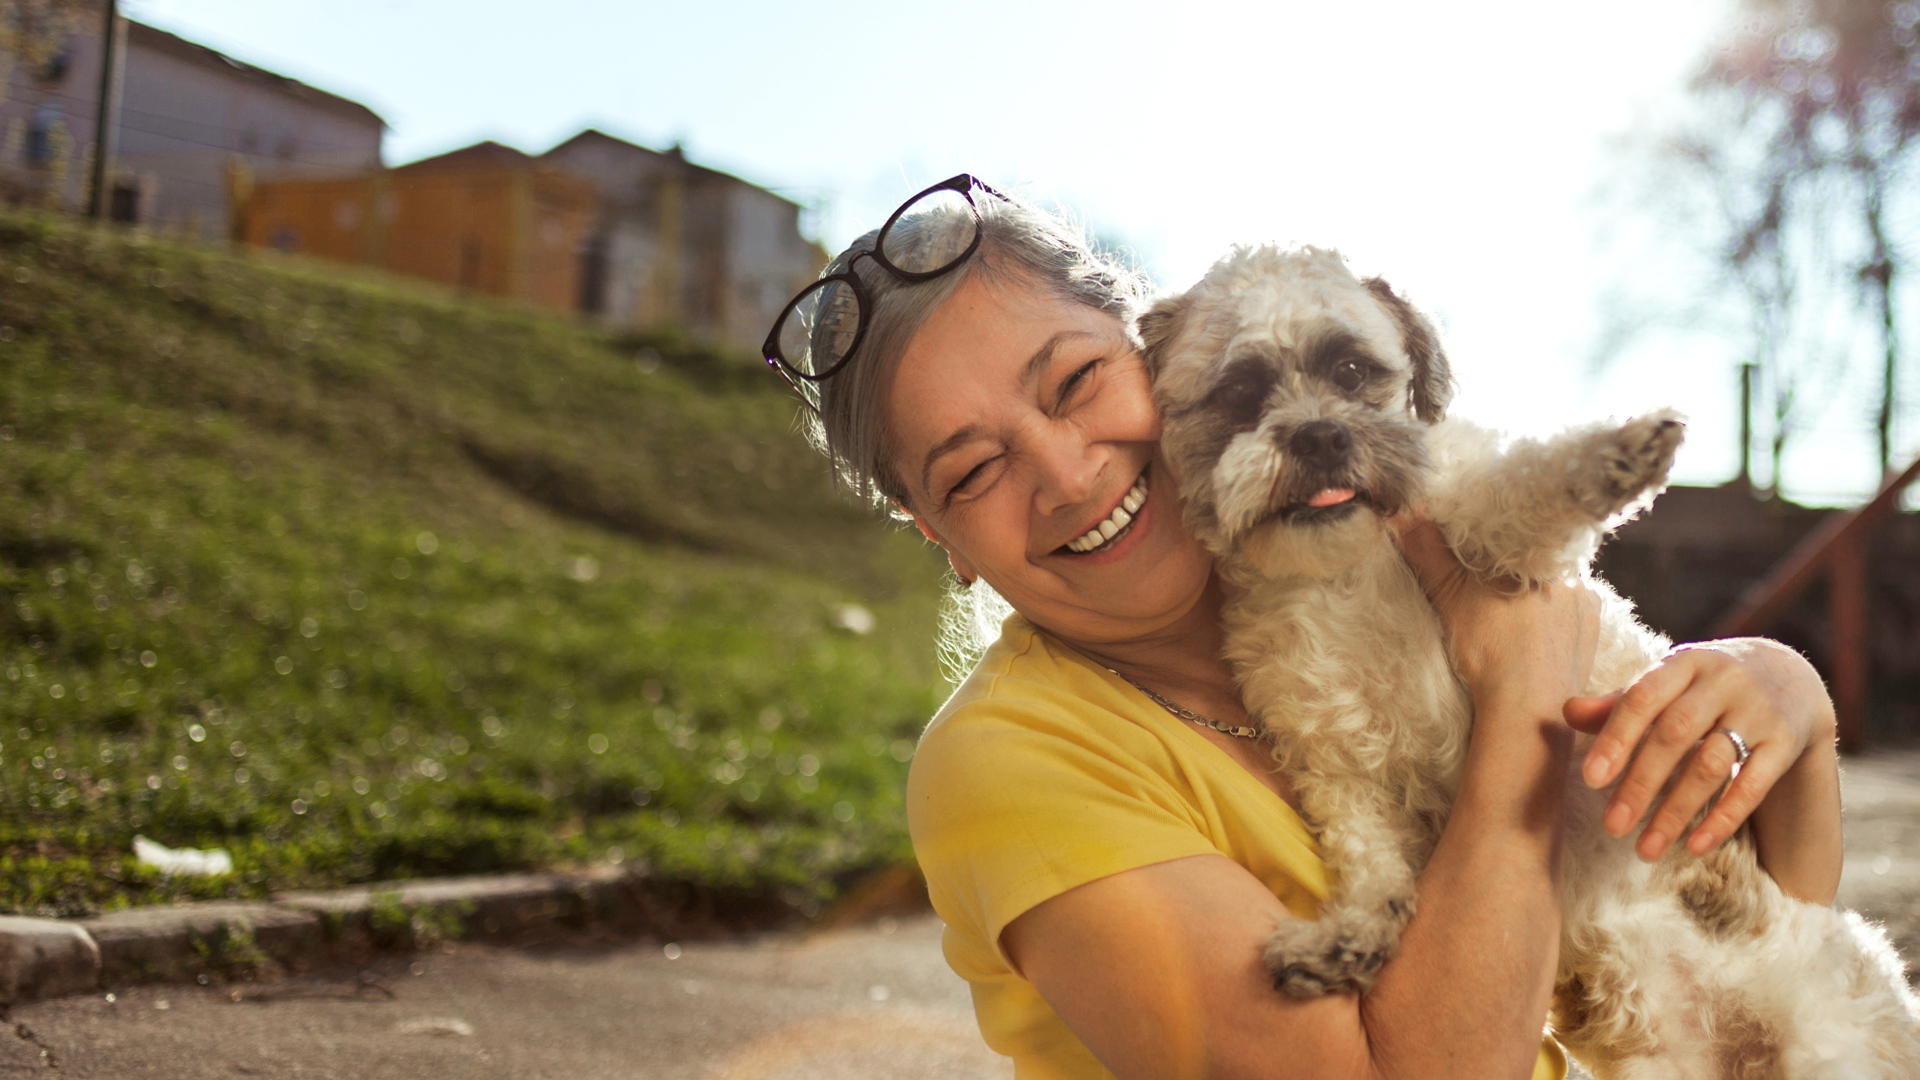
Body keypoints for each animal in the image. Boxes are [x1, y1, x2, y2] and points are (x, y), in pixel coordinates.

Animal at [1136, 244, 1920, 1076]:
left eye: (1350, 371)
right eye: (1240, 392)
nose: (1319, 435)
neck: (1343, 571)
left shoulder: (1493, 534)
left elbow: (1523, 488)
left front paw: (1612, 453)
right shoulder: (1336, 762)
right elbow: (1369, 859)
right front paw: (1348, 935)